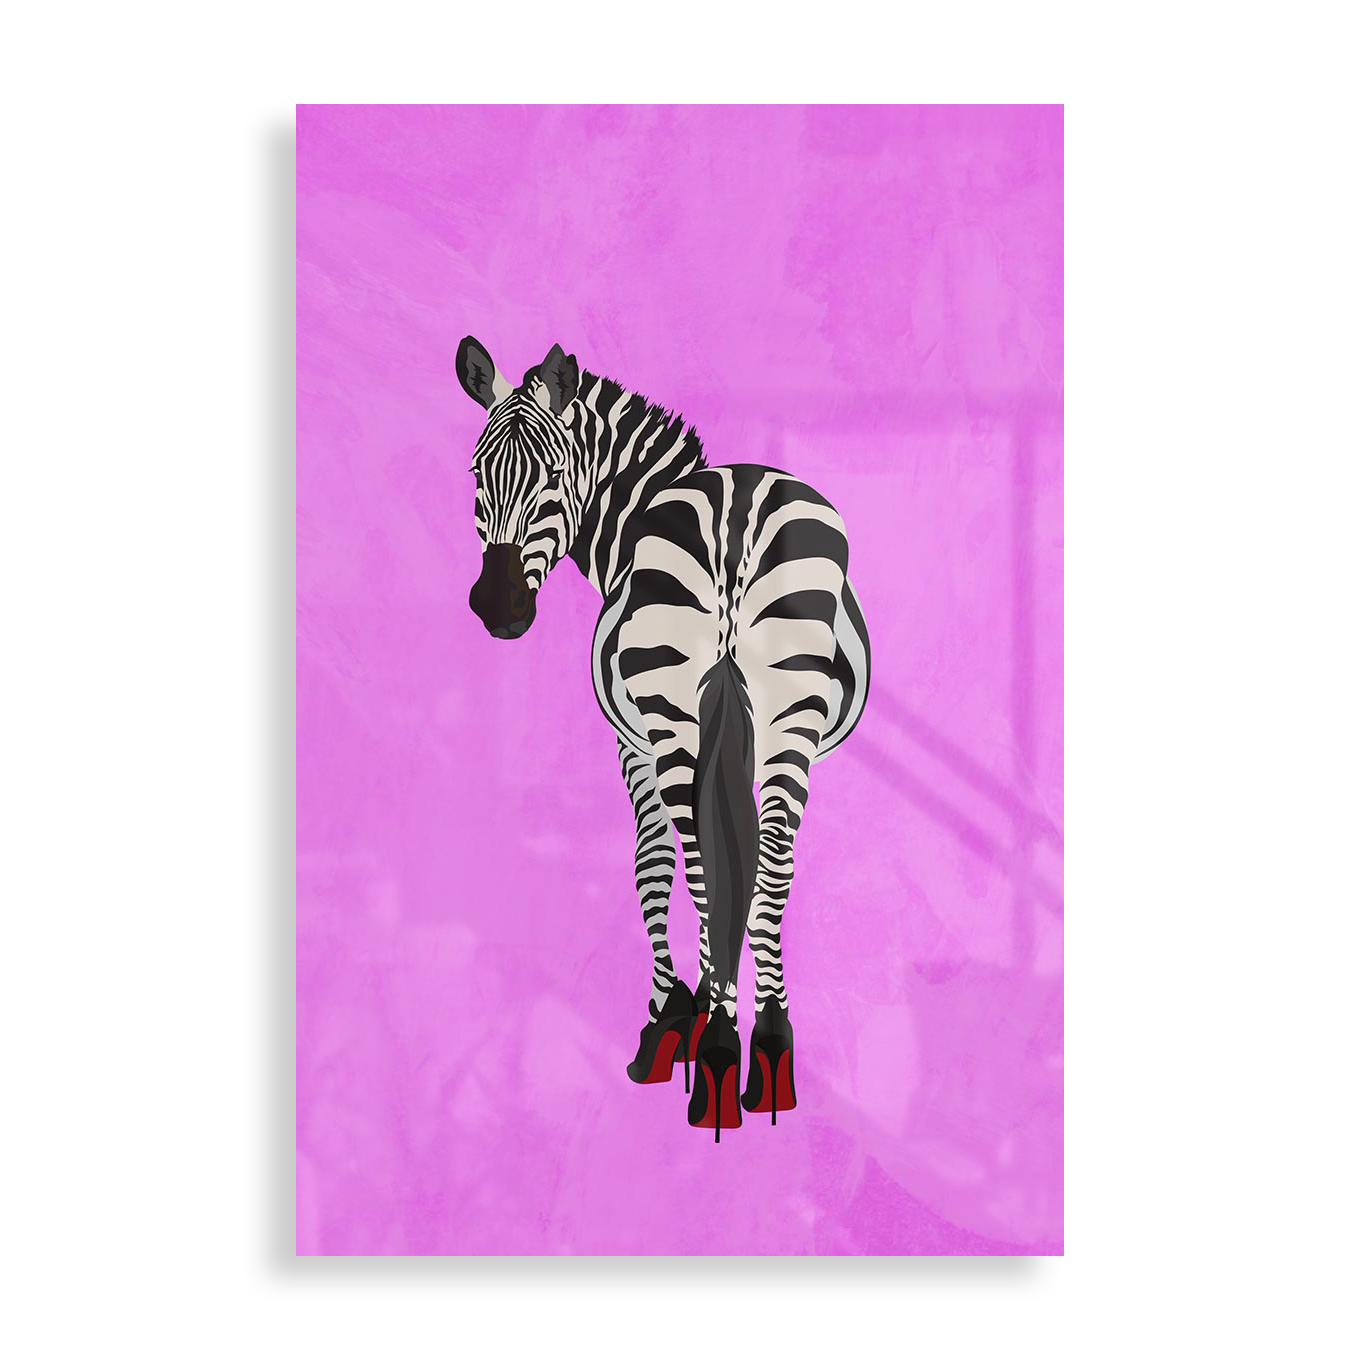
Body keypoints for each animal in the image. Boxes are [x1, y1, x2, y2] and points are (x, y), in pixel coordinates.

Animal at [456, 337, 871, 1138]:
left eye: (554, 476)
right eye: (476, 475)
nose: (498, 606)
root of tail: (738, 504)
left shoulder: (636, 744)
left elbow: (652, 863)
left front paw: (671, 1020)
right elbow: (739, 859)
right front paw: (710, 1010)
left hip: (675, 709)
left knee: (704, 859)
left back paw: (715, 1056)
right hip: (789, 714)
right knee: (771, 859)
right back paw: (766, 1051)